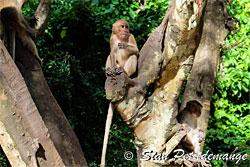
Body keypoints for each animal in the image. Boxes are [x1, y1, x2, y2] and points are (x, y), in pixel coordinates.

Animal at [101, 19, 139, 167]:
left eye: (126, 27)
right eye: (122, 26)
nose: (125, 31)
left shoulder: (131, 36)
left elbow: (136, 51)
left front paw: (124, 45)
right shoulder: (112, 38)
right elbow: (112, 52)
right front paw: (110, 70)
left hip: (126, 70)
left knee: (133, 57)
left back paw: (124, 72)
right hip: (115, 65)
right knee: (109, 56)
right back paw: (110, 72)